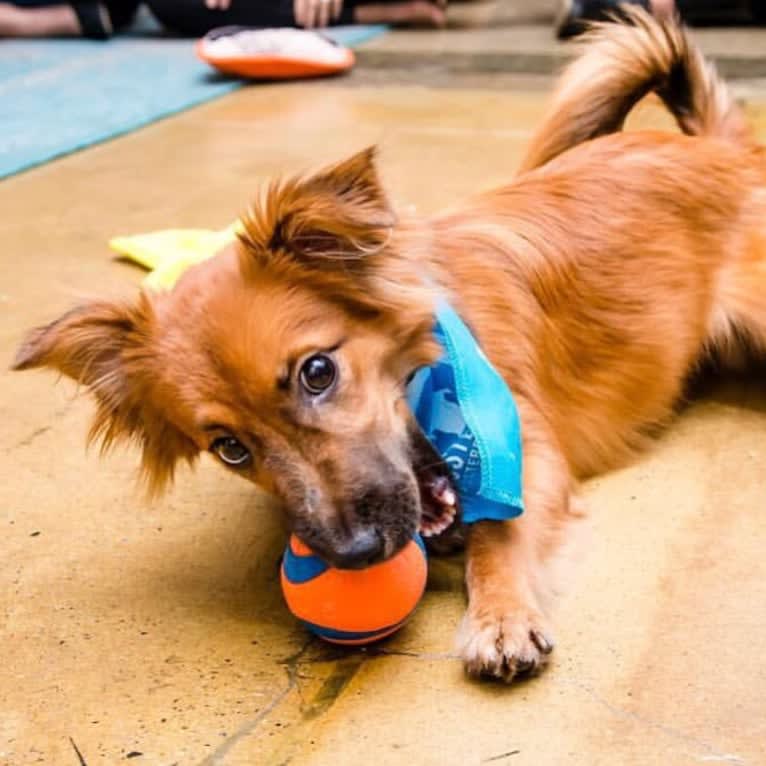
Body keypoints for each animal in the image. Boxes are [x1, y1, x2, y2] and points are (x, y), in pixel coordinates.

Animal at [13, 10, 766, 684]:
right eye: (229, 448)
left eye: (318, 372)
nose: (355, 554)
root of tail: (719, 146)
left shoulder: (525, 444)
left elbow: (501, 530)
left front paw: (500, 614)